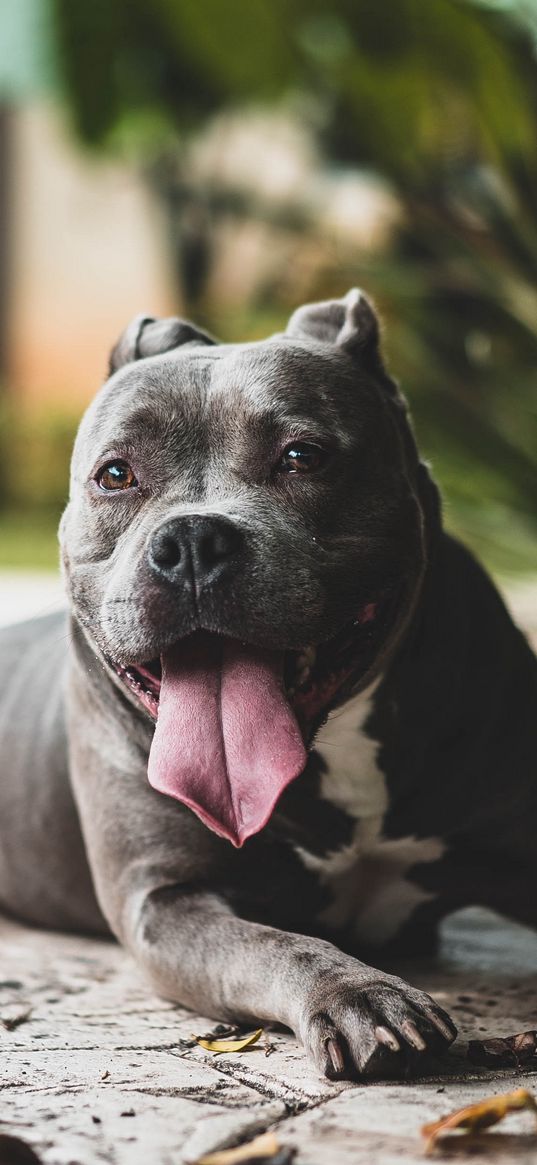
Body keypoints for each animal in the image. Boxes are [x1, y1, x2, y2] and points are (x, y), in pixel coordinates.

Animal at [2, 293, 533, 1081]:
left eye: (302, 456)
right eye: (116, 474)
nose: (192, 540)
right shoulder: (165, 900)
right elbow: (272, 943)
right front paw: (357, 993)